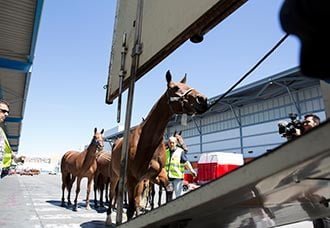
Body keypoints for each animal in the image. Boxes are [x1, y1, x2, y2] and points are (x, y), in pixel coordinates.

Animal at [107, 70, 208, 224]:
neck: (147, 143)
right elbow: (130, 208)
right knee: (113, 193)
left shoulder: (155, 176)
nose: (202, 99)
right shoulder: (132, 179)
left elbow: (167, 190)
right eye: (175, 88)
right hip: (115, 176)